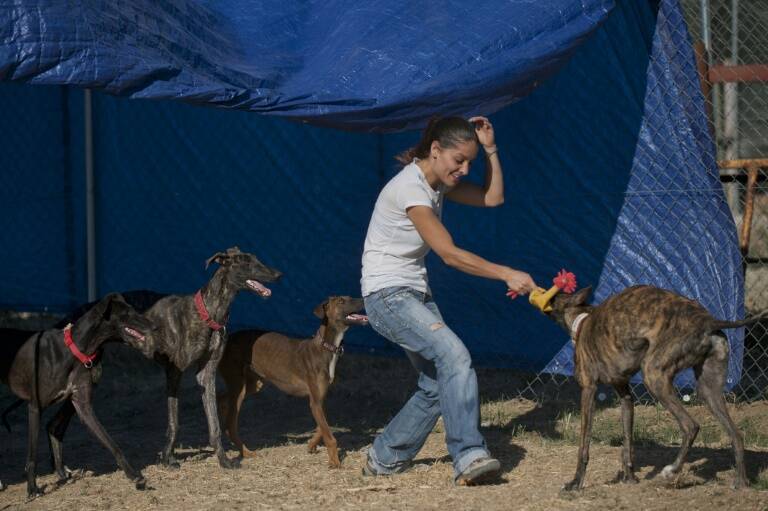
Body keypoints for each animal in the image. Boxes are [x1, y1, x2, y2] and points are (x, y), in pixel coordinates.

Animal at [0, 294, 156, 498]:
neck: (74, 350)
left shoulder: (82, 405)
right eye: (128, 313)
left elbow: (111, 443)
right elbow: (32, 455)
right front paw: (32, 489)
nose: (155, 326)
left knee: (54, 427)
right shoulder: (34, 407)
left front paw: (134, 475)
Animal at [141, 246, 282, 470]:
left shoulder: (207, 373)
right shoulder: (174, 371)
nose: (279, 275)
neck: (209, 311)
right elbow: (174, 421)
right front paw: (166, 458)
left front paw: (224, 460)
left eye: (257, 259)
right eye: (247, 263)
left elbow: (214, 424)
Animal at [544, 286, 756, 490]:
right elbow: (627, 443)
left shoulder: (588, 390)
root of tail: (708, 321)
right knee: (736, 435)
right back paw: (741, 482)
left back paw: (672, 470)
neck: (582, 319)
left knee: (691, 426)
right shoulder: (625, 395)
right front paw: (630, 478)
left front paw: (576, 482)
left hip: (654, 377)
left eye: (554, 297)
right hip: (708, 390)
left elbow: (584, 446)